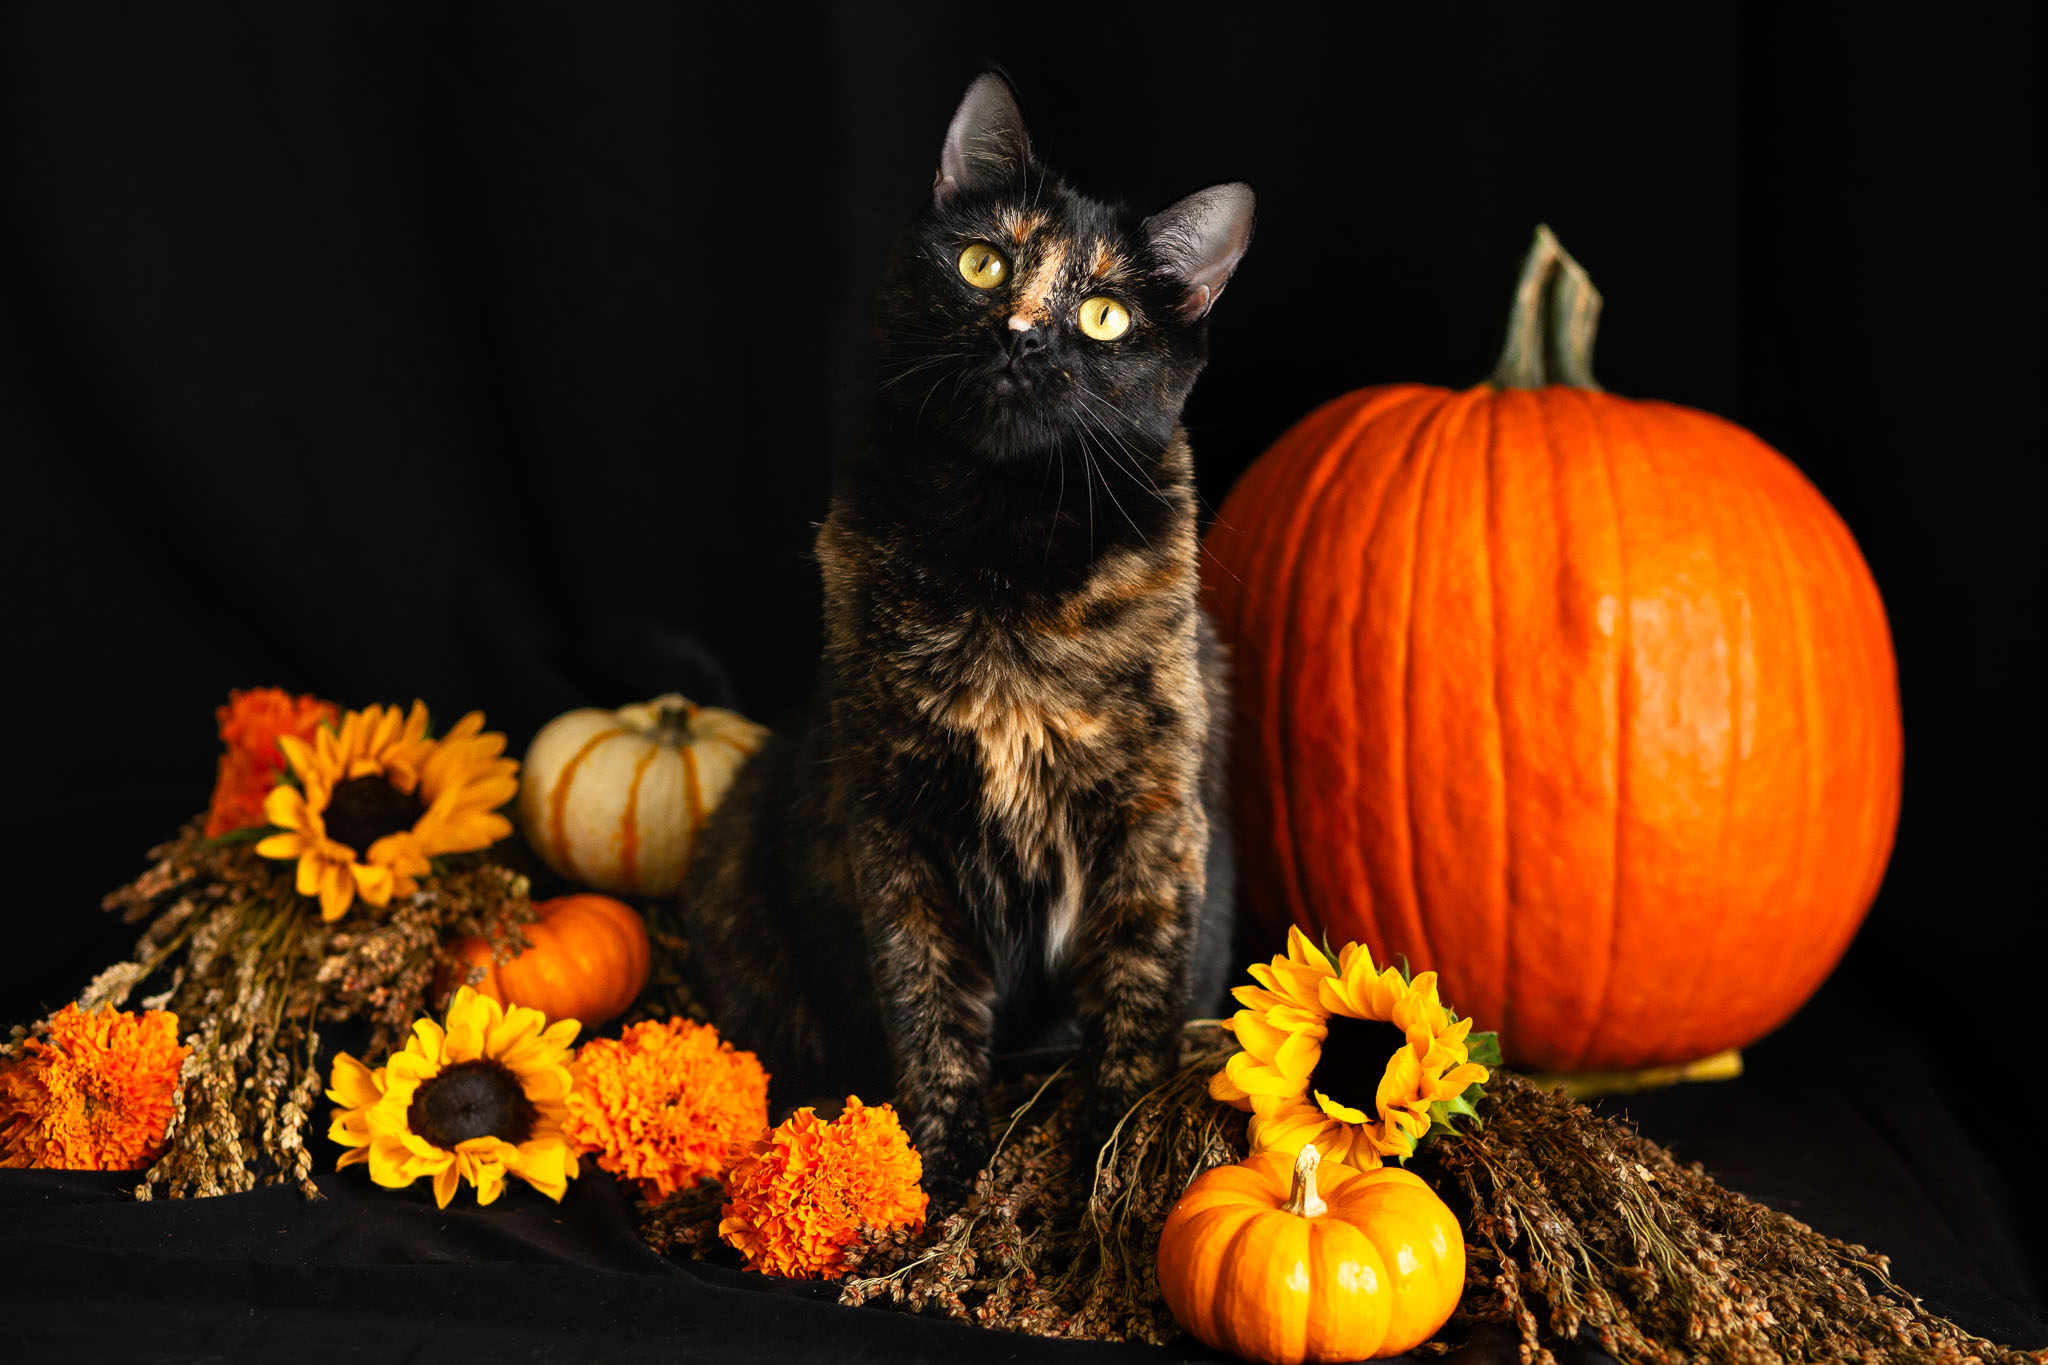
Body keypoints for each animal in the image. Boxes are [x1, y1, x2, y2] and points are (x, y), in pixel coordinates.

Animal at [684, 72, 1245, 1195]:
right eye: (984, 262)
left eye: (1104, 315)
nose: (1023, 333)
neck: (1002, 548)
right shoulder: (896, 825)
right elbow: (929, 1006)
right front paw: (938, 1176)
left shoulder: (1154, 819)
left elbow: (1136, 997)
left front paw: (1109, 1163)